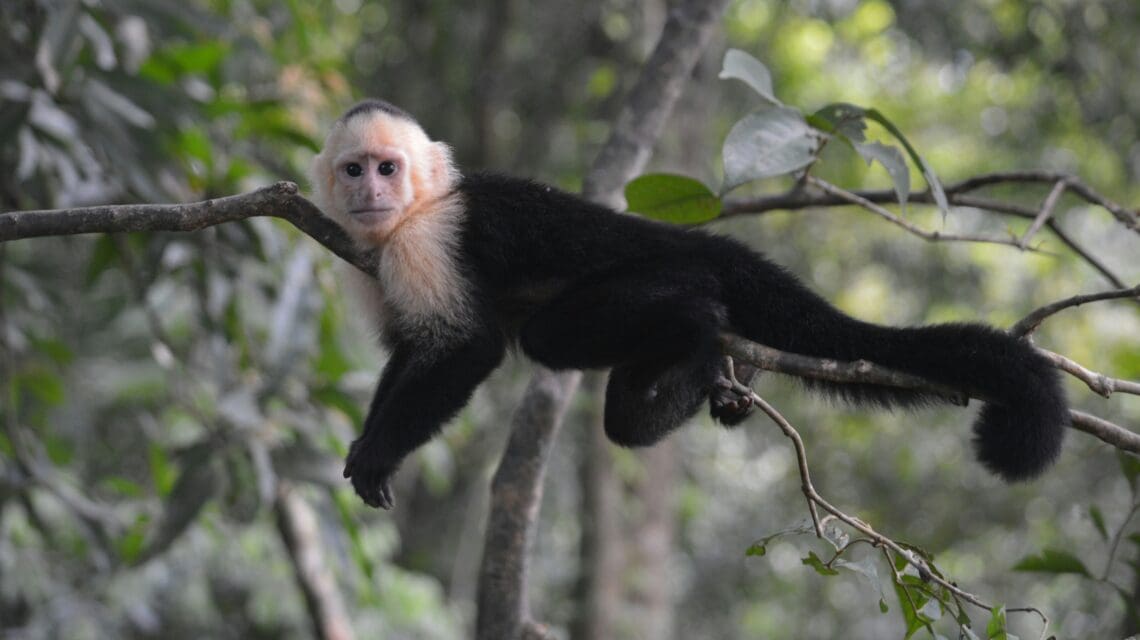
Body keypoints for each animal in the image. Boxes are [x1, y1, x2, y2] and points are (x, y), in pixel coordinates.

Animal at [308, 99, 1068, 510]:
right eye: (353, 169)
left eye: (389, 168)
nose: (369, 192)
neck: (411, 214)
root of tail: (697, 241)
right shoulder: (372, 257)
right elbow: (410, 348)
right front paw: (364, 441)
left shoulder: (426, 240)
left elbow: (469, 347)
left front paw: (380, 454)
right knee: (616, 409)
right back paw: (706, 381)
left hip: (664, 268)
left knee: (562, 334)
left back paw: (701, 333)